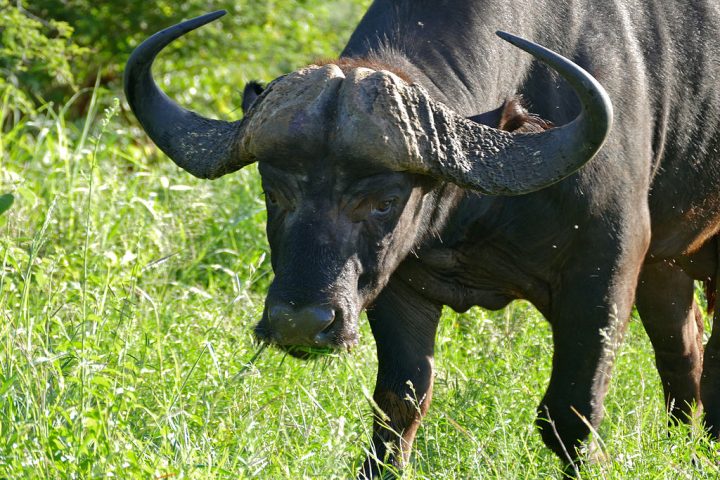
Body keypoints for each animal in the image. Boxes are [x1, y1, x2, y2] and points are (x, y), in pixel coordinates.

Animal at [125, 1, 720, 477]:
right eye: (274, 191)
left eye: (385, 200)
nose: (299, 323)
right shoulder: (396, 286)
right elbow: (399, 403)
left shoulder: (603, 270)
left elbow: (570, 412)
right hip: (666, 269)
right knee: (683, 347)